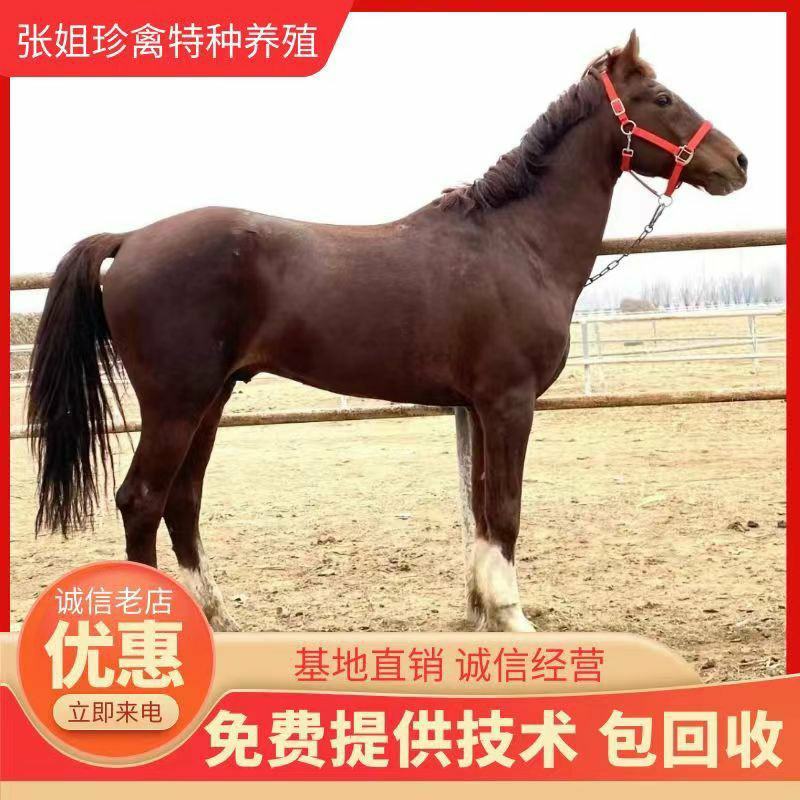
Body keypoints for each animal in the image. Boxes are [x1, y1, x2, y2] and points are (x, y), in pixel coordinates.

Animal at [27, 32, 747, 632]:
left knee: (182, 500)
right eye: (662, 98)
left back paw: (219, 619)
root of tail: (131, 238)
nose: (738, 162)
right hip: (177, 404)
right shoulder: (509, 405)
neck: (517, 242)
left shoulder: (479, 409)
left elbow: (483, 510)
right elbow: (506, 510)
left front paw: (487, 613)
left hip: (210, 400)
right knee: (142, 501)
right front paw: (514, 619)